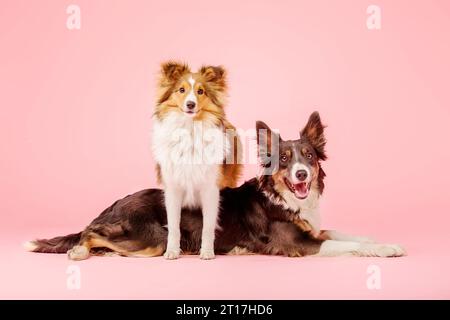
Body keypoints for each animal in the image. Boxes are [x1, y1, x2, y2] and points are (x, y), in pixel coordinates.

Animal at [23, 112, 404, 260]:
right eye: (283, 160)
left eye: (308, 156)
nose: (301, 175)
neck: (283, 198)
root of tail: (114, 203)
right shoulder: (297, 244)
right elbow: (346, 244)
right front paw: (385, 250)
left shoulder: (314, 228)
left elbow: (349, 234)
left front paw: (386, 242)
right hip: (153, 239)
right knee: (91, 233)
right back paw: (79, 250)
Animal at [152, 62, 243, 260]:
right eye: (181, 90)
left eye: (201, 91)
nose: (190, 104)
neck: (190, 128)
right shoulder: (173, 189)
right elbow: (174, 226)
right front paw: (172, 251)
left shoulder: (210, 189)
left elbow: (208, 226)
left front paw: (207, 252)